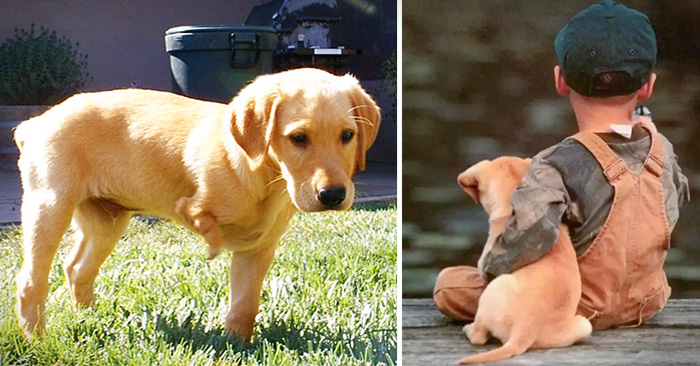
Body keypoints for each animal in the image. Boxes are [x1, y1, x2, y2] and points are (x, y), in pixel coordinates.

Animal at [12, 68, 382, 340]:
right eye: (298, 138)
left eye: (347, 136)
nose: (333, 196)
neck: (265, 176)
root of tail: (35, 123)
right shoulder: (190, 202)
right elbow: (197, 212)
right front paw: (212, 242)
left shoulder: (258, 249)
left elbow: (246, 303)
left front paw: (237, 343)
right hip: (50, 205)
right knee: (32, 280)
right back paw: (37, 338)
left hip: (106, 221)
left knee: (76, 268)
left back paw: (89, 317)